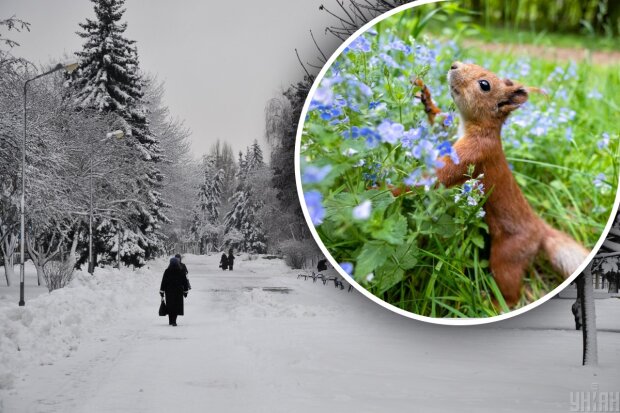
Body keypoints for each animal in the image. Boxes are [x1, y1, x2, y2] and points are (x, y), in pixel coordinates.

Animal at [434, 61, 588, 306]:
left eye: (484, 85)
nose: (454, 65)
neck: (477, 128)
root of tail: (539, 230)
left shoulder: (473, 154)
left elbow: (443, 174)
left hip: (507, 256)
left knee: (511, 292)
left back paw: (492, 303)